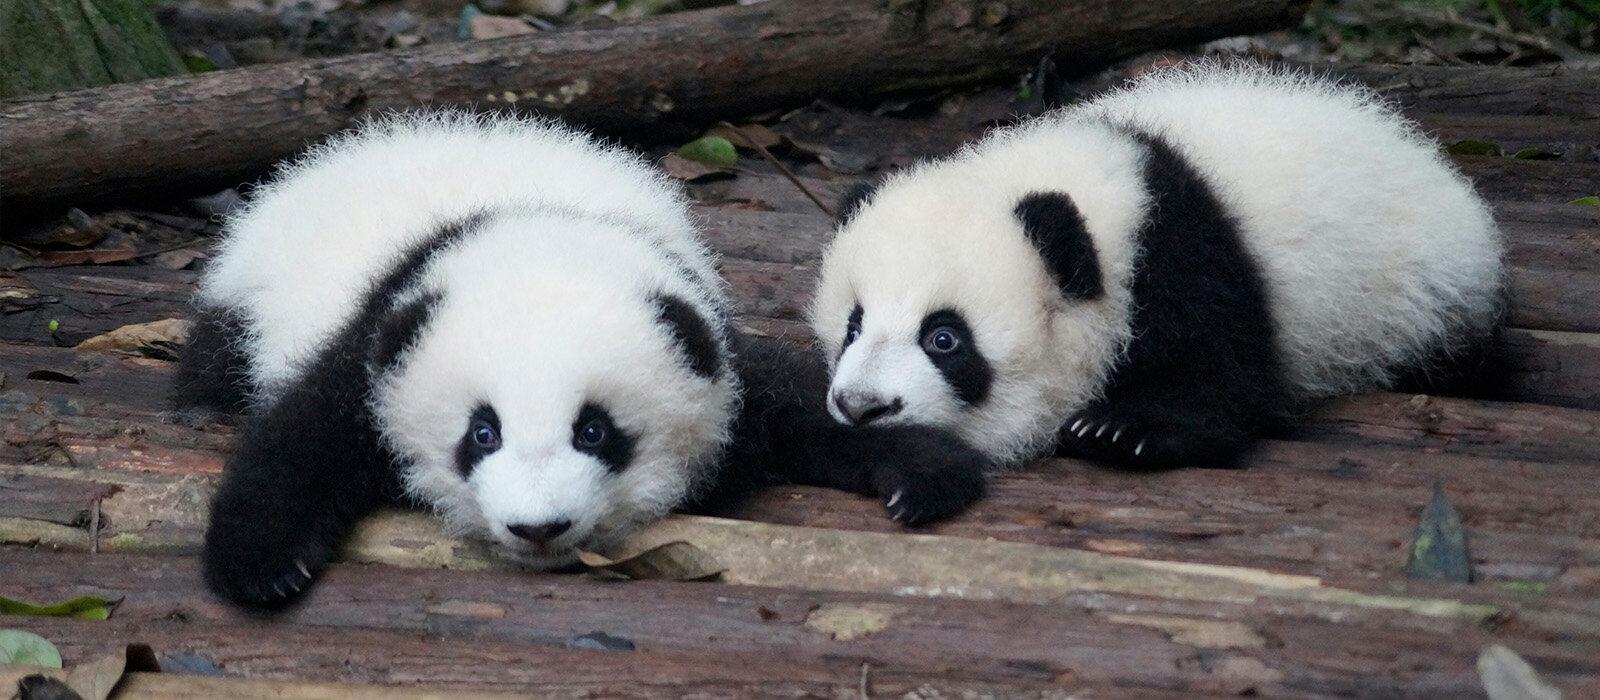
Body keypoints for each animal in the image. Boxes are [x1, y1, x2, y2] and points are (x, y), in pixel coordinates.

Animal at [178, 111, 989, 611]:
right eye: (482, 434)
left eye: (595, 432)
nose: (539, 529)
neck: (541, 227)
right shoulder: (384, 331)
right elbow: (304, 434)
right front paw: (261, 566)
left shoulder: (701, 332)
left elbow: (795, 400)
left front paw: (921, 469)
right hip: (245, 296)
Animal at [810, 61, 1505, 470]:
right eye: (853, 325)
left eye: (944, 339)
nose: (862, 407)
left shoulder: (1186, 255)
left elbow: (1223, 375)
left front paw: (1120, 430)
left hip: (1420, 298)